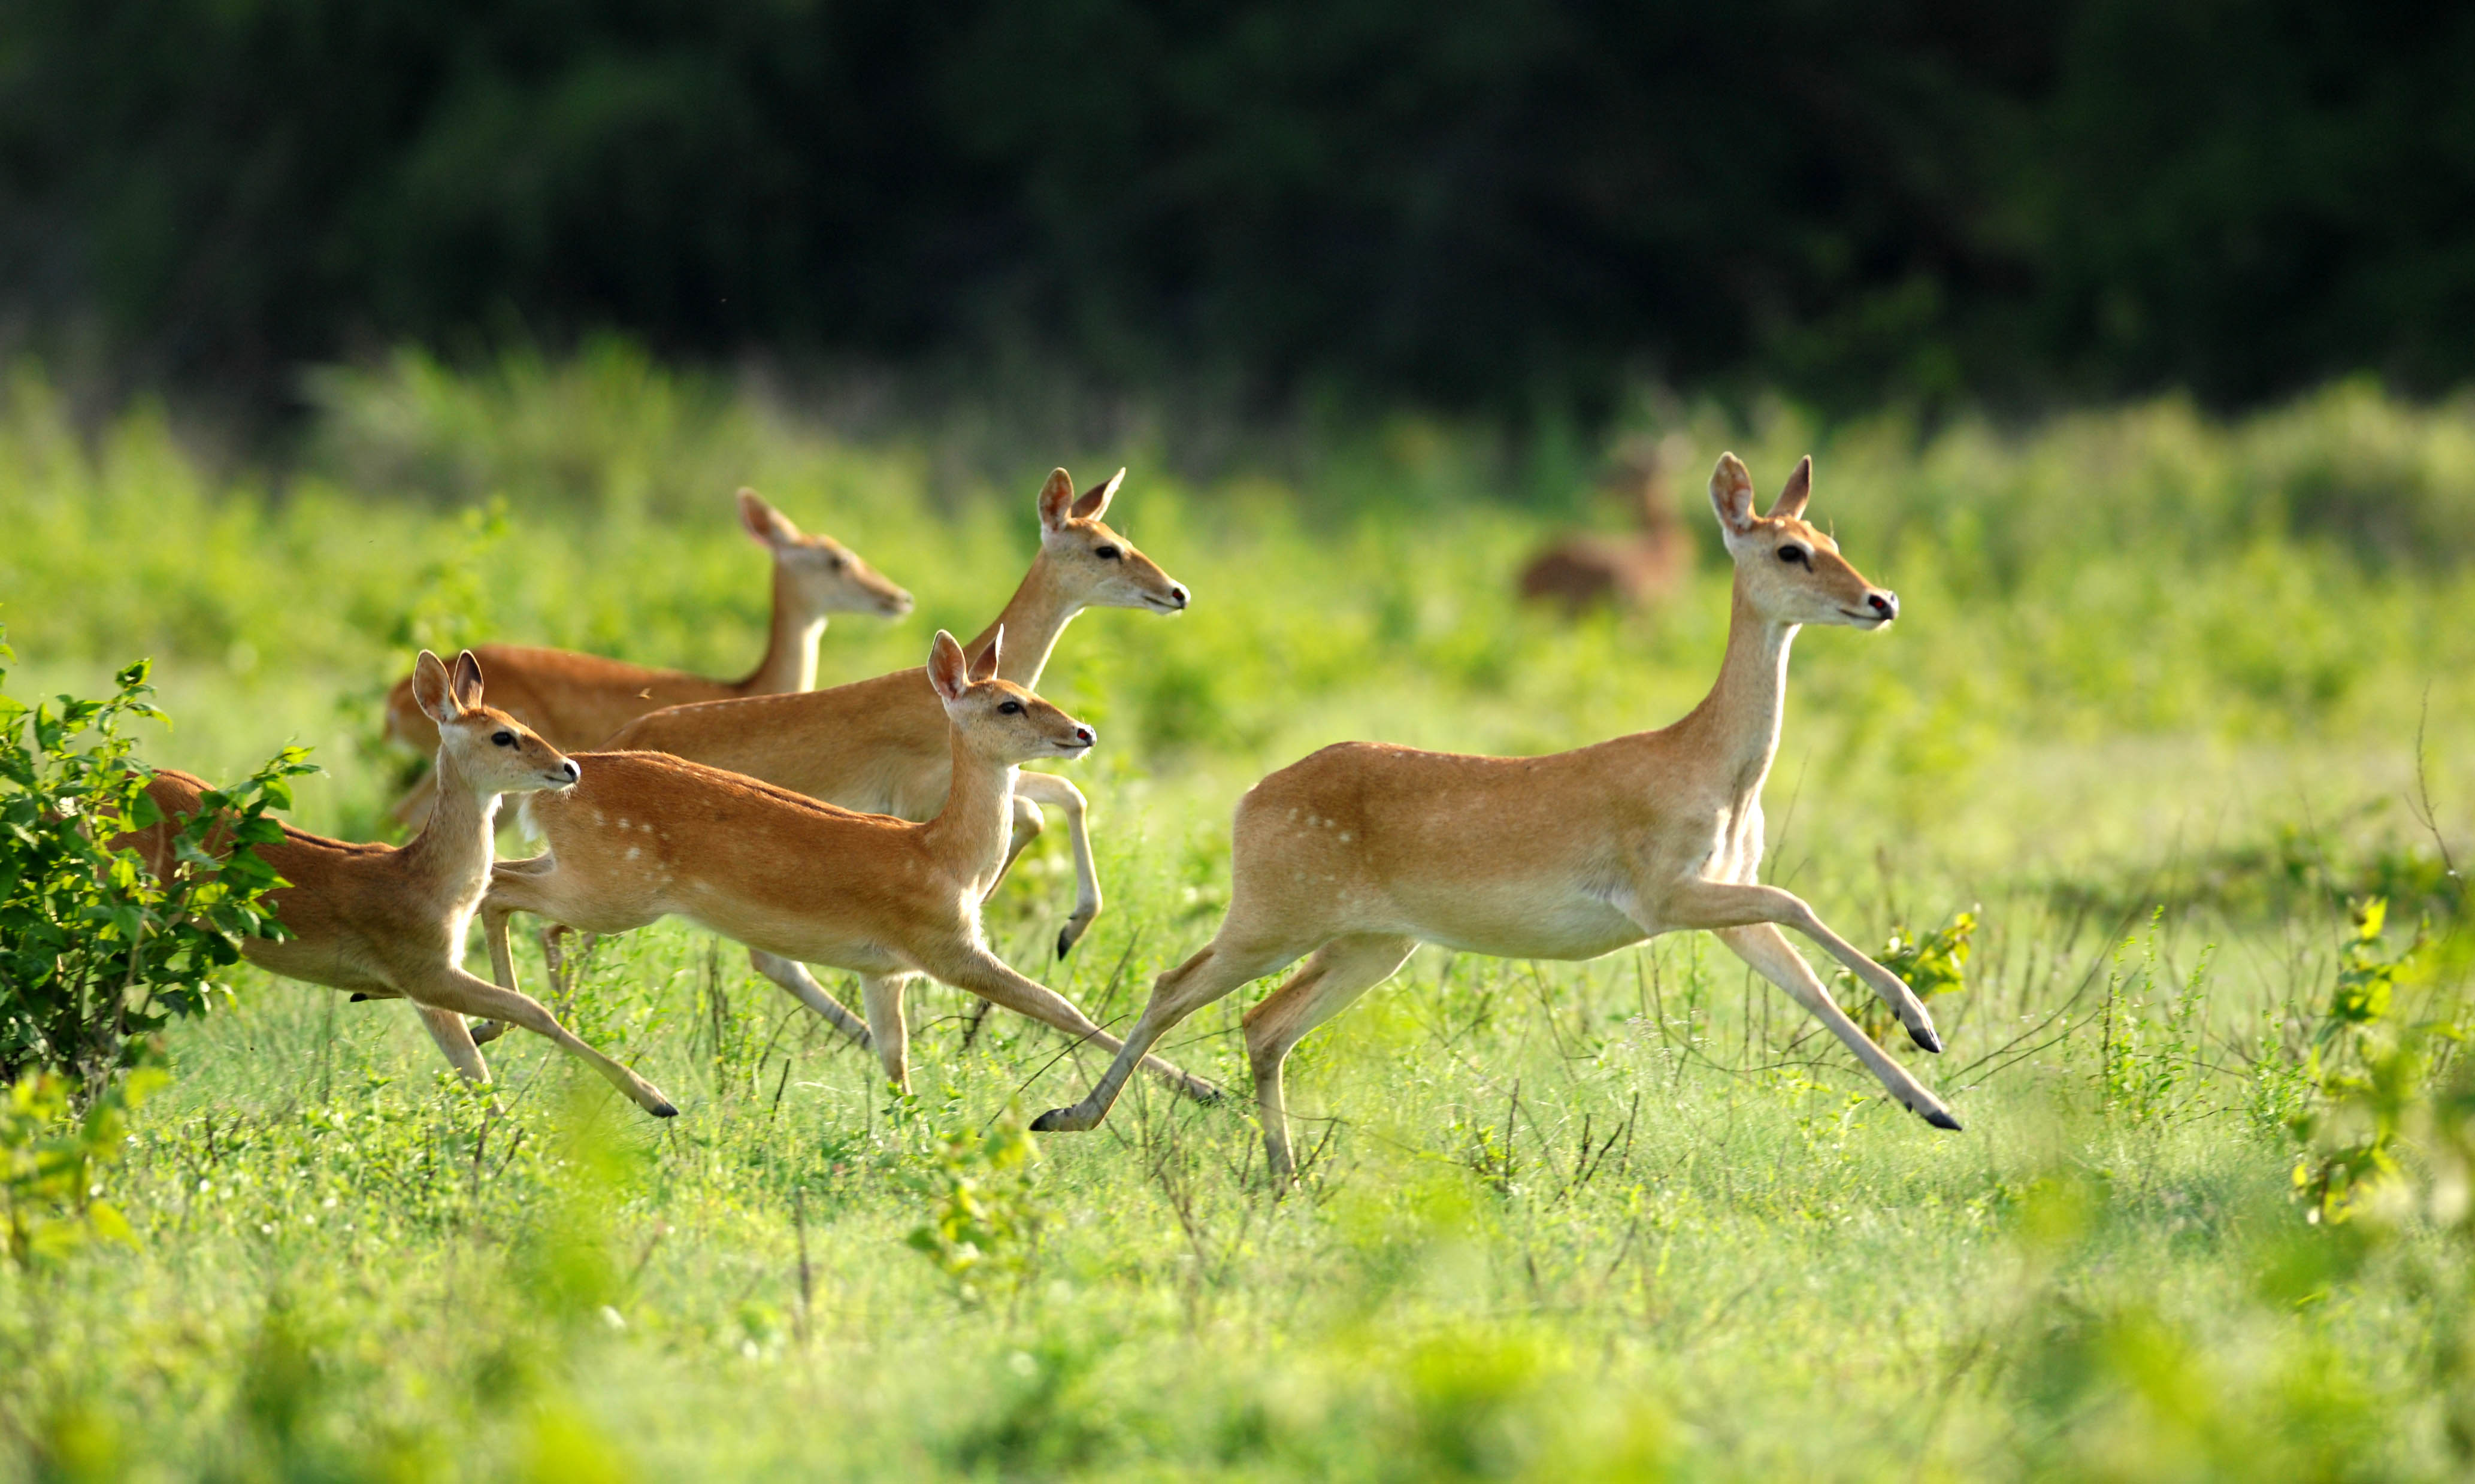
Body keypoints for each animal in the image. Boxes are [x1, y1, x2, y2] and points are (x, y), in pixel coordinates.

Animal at [120, 648, 673, 1113]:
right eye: (502, 735)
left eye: (522, 722)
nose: (570, 767)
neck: (423, 878)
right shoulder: (428, 976)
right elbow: (532, 1011)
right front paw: (657, 1100)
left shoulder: (430, 992)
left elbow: (475, 1069)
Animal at [473, 625, 1217, 1103]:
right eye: (1010, 703)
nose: (1082, 732)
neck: (944, 857)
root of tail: (559, 779)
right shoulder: (944, 947)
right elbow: (1059, 1006)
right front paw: (1205, 1089)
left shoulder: (883, 972)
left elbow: (896, 1061)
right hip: (615, 888)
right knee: (500, 891)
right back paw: (509, 1029)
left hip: (588, 874)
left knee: (504, 888)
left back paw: (500, 1027)